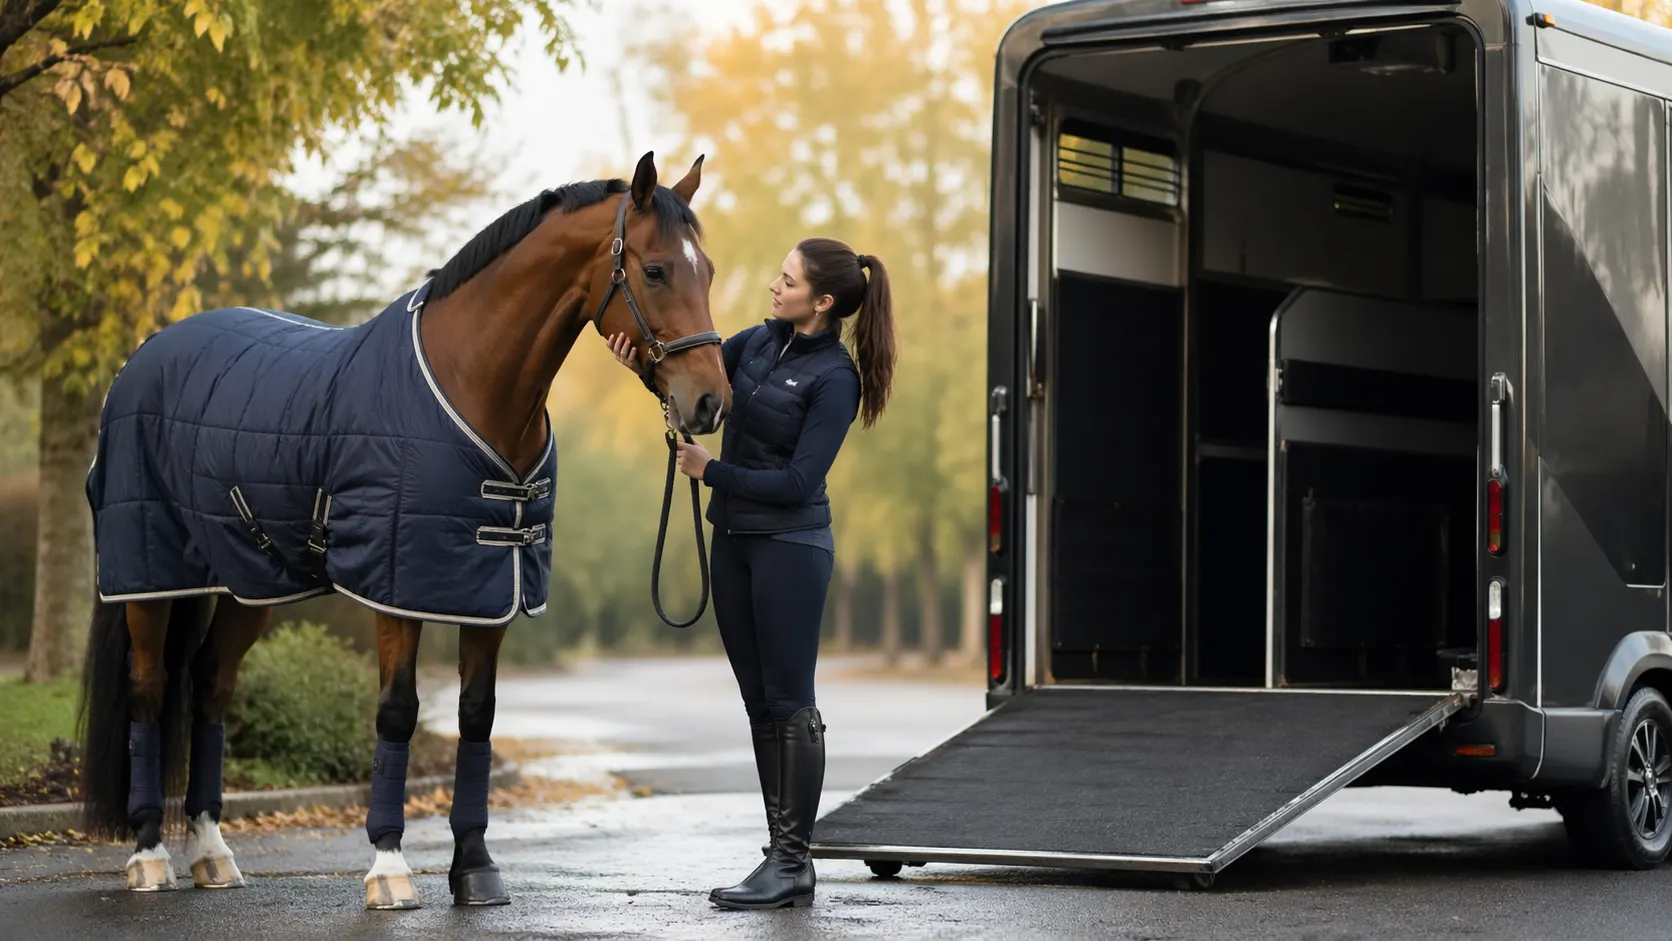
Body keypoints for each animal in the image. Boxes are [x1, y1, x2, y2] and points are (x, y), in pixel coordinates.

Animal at [74, 152, 728, 909]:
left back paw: (212, 852)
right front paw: (389, 866)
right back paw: (149, 854)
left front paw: (475, 866)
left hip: (245, 583)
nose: (710, 402)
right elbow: (397, 711)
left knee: (210, 686)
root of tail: (142, 357)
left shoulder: (489, 589)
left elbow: (478, 715)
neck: (470, 380)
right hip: (149, 579)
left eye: (708, 270)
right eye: (654, 270)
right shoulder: (395, 586)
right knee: (150, 692)